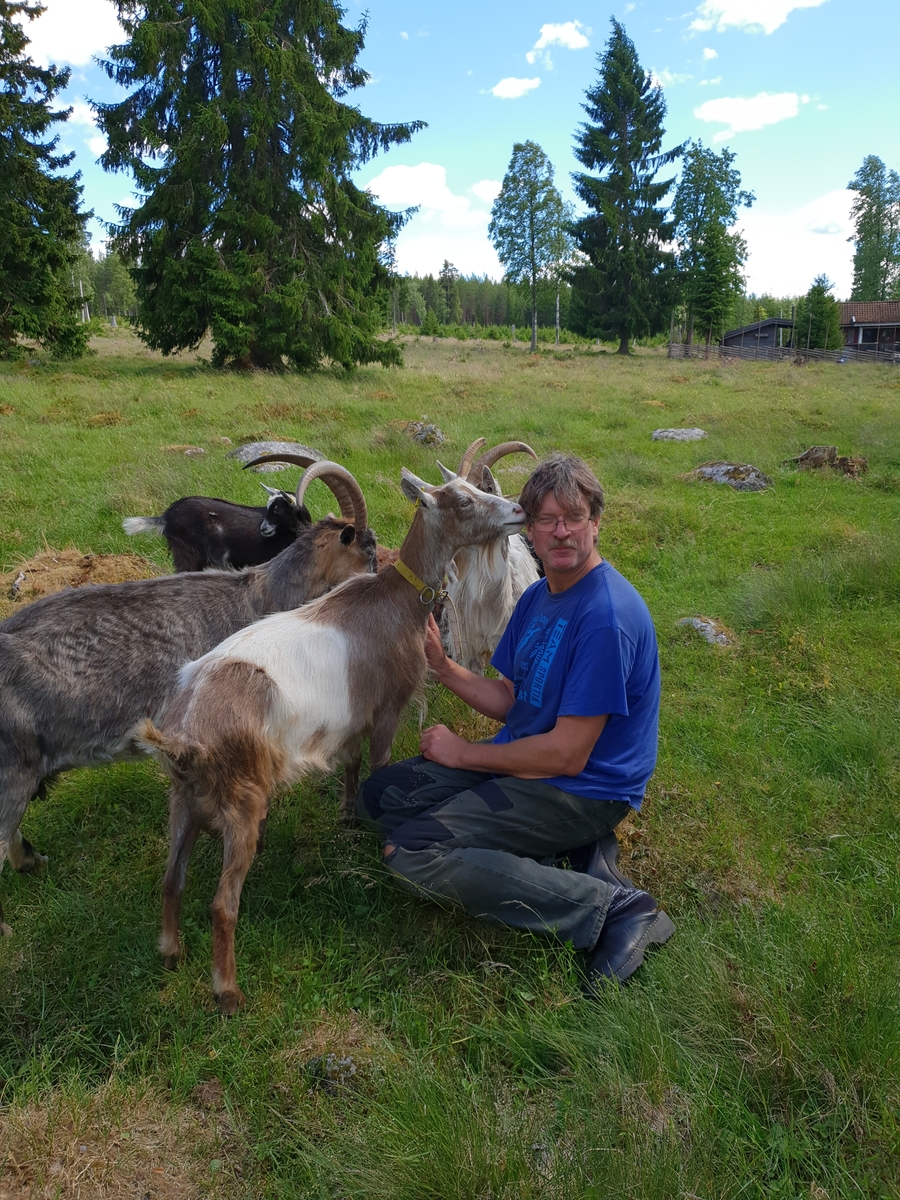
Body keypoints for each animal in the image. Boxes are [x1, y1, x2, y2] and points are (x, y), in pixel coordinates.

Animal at [137, 467, 526, 1013]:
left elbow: (351, 765)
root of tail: (186, 735)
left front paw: (345, 815)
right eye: (463, 501)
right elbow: (379, 767)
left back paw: (171, 953)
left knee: (172, 879)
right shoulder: (386, 711)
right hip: (241, 805)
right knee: (222, 905)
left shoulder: (351, 720)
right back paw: (228, 992)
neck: (393, 601)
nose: (518, 511)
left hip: (183, 804)